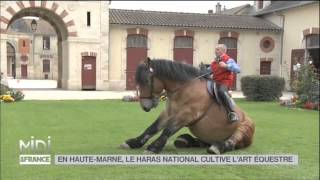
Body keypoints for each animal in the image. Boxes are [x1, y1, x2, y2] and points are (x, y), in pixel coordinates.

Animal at [120, 58, 255, 154]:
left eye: (147, 81)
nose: (145, 106)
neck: (184, 89)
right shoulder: (168, 113)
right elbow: (152, 128)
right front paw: (134, 142)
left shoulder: (186, 116)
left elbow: (167, 130)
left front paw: (153, 147)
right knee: (193, 141)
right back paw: (187, 141)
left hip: (243, 128)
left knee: (231, 142)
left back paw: (218, 147)